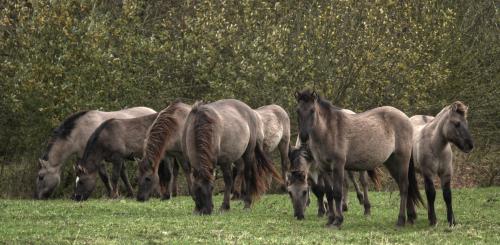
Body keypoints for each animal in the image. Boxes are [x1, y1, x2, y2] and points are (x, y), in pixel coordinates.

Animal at [294, 90, 424, 228]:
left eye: (312, 110)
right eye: (298, 110)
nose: (304, 137)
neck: (328, 131)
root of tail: (406, 119)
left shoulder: (338, 166)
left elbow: (337, 193)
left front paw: (338, 220)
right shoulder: (324, 168)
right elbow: (329, 194)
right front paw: (330, 220)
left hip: (402, 160)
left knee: (404, 186)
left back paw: (401, 220)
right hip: (391, 163)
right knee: (404, 186)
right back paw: (410, 218)